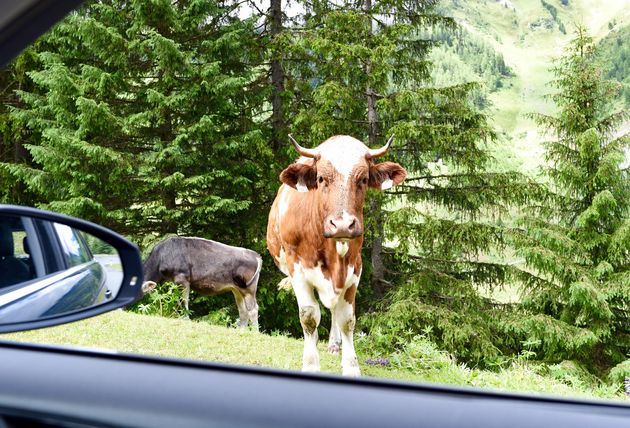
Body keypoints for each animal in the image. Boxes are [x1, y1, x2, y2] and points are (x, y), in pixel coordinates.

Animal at [266, 134, 404, 374]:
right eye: (321, 178)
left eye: (364, 179)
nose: (342, 225)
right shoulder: (297, 269)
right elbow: (309, 317)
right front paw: (311, 364)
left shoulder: (354, 268)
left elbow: (346, 320)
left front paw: (351, 367)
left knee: (333, 310)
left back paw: (333, 344)